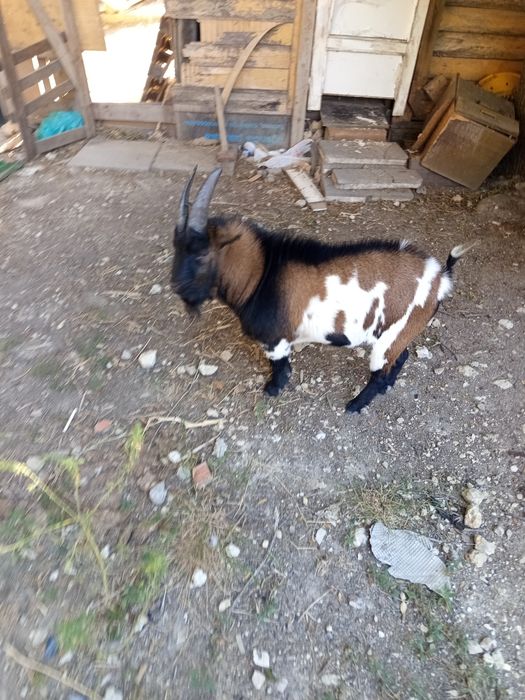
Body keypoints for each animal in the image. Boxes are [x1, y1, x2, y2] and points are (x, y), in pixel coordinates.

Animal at [171, 167, 472, 413]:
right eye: (176, 248)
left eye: (201, 255)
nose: (176, 286)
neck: (262, 273)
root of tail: (440, 277)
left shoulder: (276, 340)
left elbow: (280, 366)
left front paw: (273, 389)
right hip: (402, 333)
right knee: (402, 357)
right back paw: (387, 387)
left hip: (392, 333)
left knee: (380, 372)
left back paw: (355, 405)